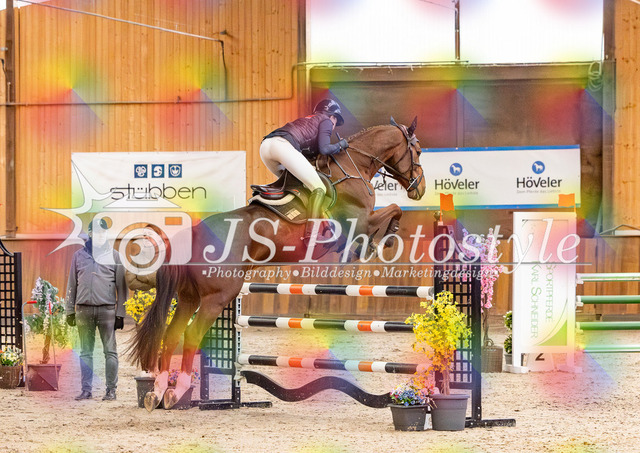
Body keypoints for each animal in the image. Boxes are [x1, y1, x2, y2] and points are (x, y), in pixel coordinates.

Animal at [128, 117, 426, 411]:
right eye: (419, 150)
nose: (420, 189)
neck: (354, 167)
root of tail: (194, 233)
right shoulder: (360, 222)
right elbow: (392, 212)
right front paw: (380, 241)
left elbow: (391, 212)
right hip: (217, 297)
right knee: (190, 335)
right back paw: (178, 389)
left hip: (189, 297)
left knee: (171, 334)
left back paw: (158, 392)